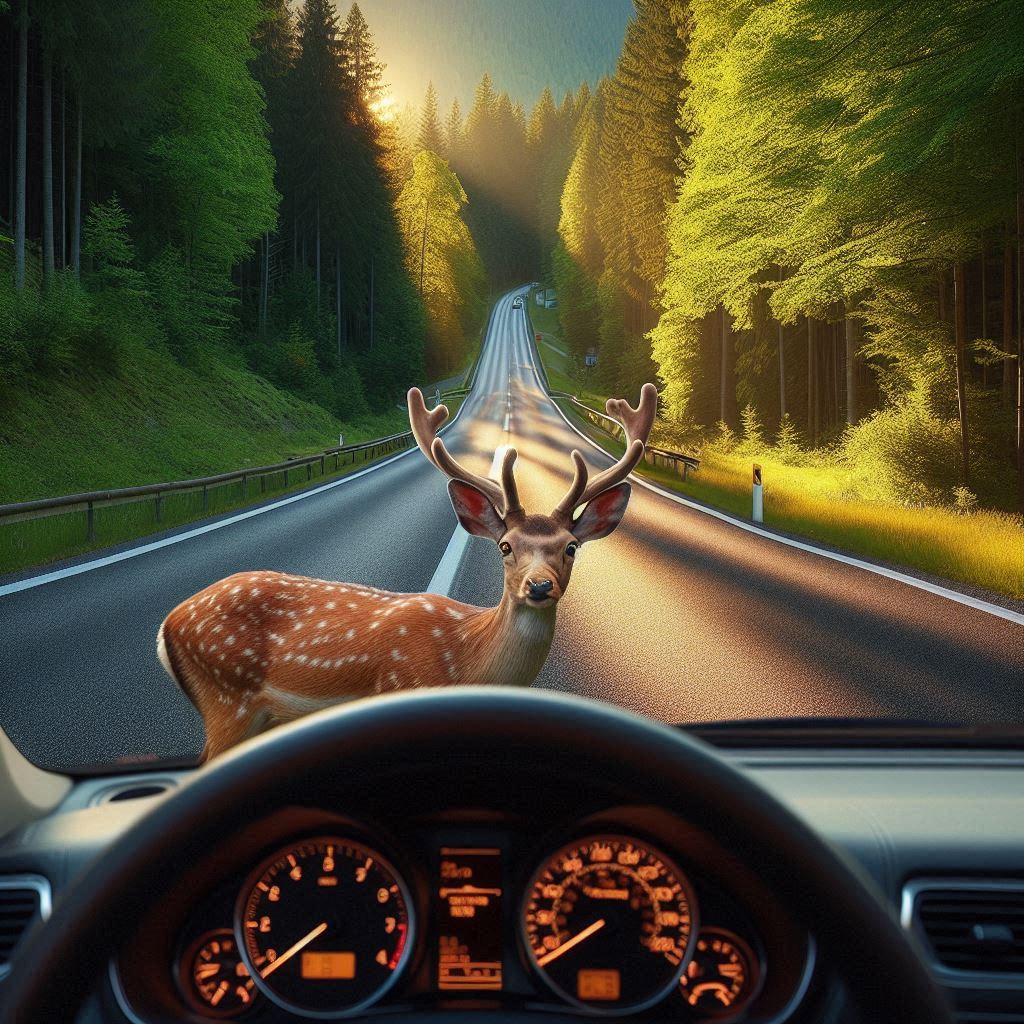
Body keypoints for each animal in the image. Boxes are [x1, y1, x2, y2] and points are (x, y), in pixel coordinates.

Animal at [157, 383, 657, 761]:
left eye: (570, 547)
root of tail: (168, 625)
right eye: (505, 547)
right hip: (227, 696)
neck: (464, 660)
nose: (539, 585)